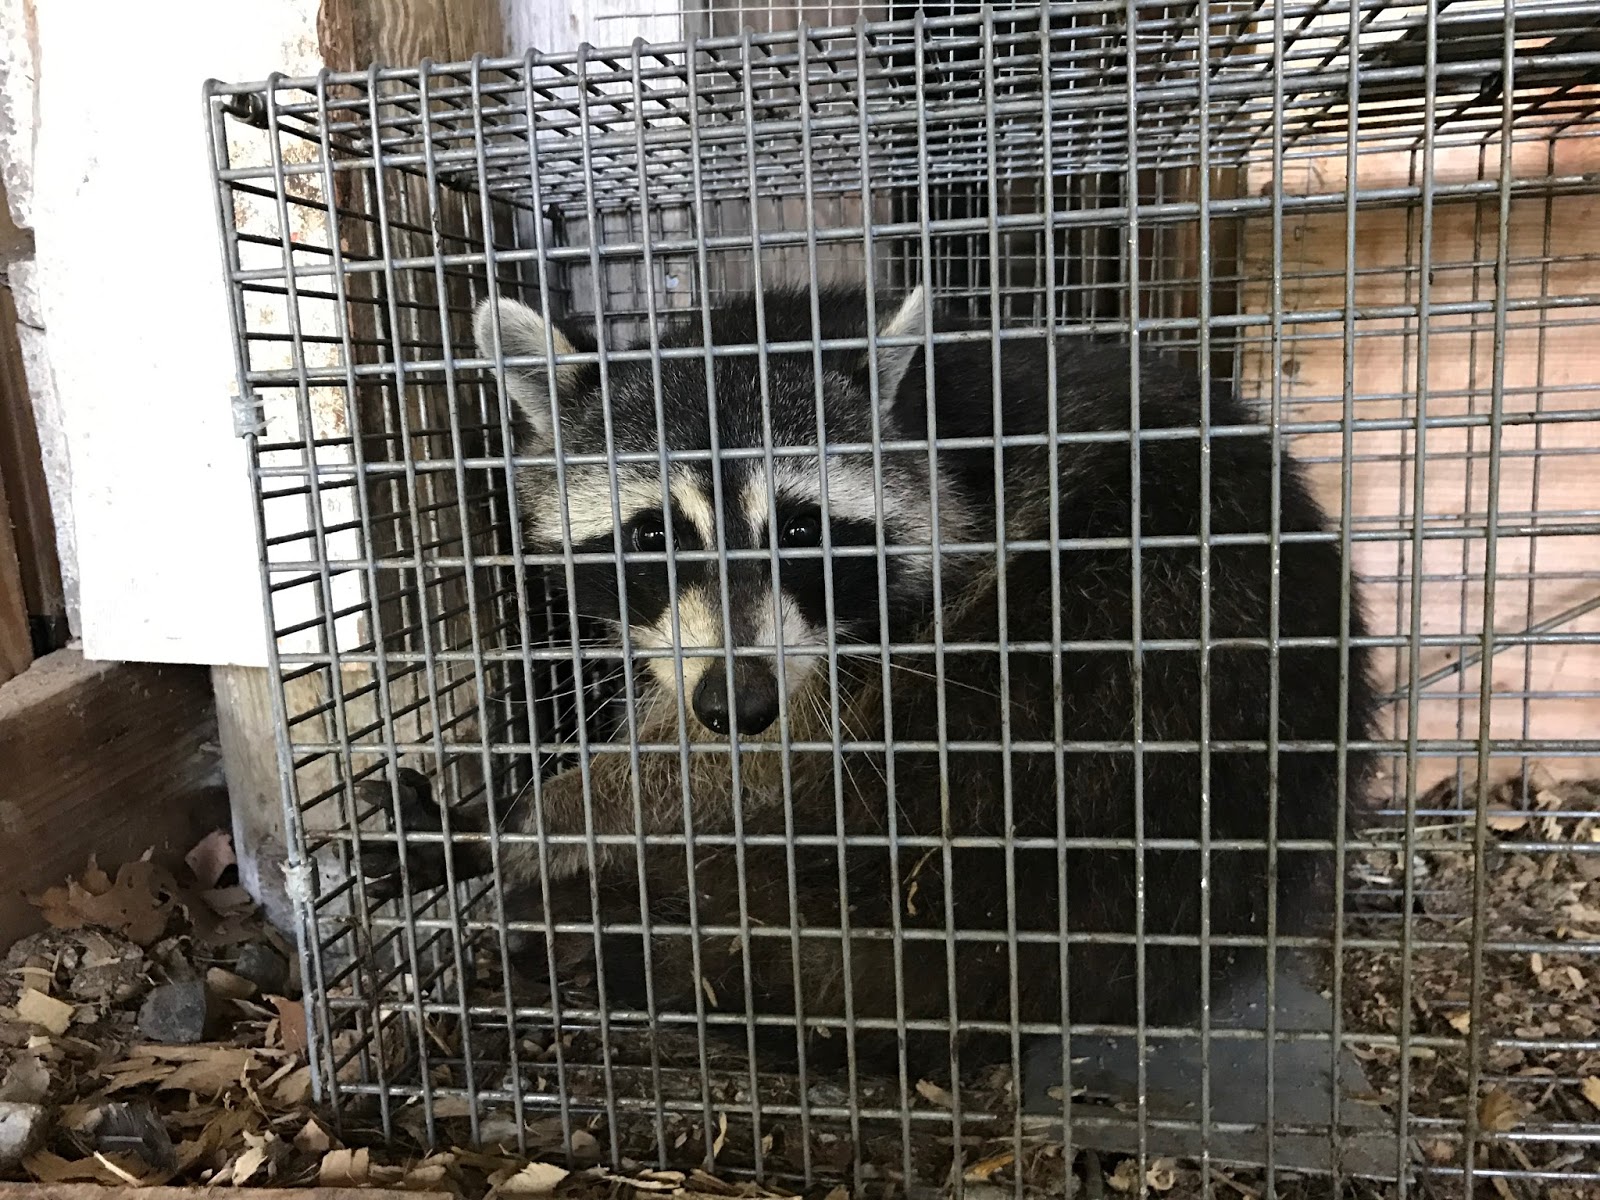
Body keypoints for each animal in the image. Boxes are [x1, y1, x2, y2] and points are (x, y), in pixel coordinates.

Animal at [361, 284, 1378, 1081]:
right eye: (653, 534)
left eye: (803, 530)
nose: (738, 704)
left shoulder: (943, 565)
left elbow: (762, 761)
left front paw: (532, 821)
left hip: (1125, 632)